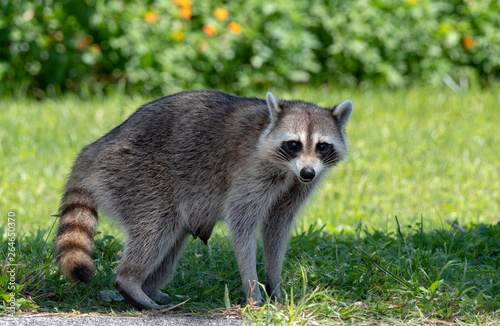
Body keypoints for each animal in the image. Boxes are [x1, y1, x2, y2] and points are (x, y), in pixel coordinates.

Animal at [53, 90, 352, 310]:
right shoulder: (252, 171)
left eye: (322, 146)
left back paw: (151, 287)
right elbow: (242, 225)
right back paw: (131, 282)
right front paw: (252, 287)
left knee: (170, 244)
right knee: (155, 230)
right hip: (138, 177)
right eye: (294, 144)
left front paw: (274, 283)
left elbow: (277, 228)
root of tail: (95, 148)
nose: (308, 173)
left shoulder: (296, 188)